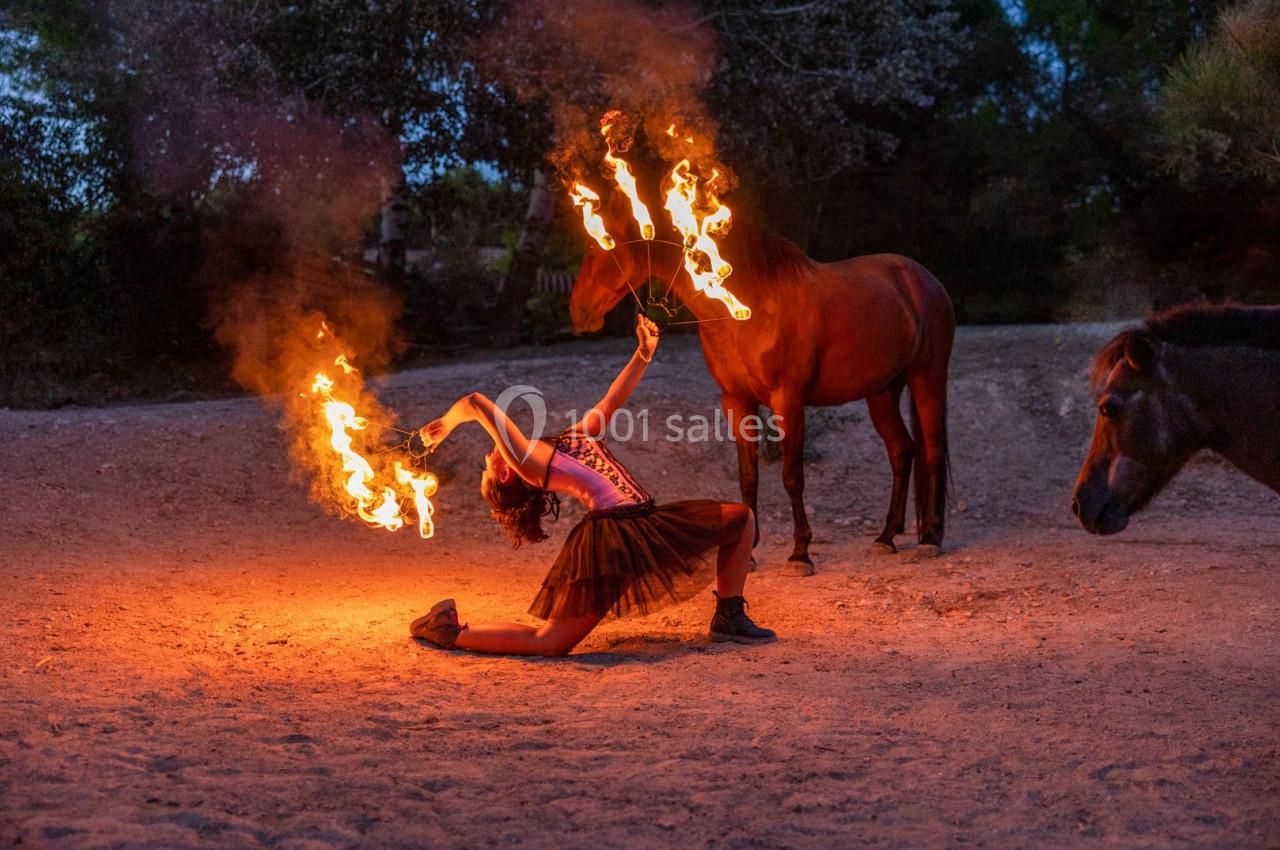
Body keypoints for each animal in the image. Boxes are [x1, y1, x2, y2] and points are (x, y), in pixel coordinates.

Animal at [570, 196, 954, 572]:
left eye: (596, 244)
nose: (579, 312)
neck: (751, 304)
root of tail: (925, 280)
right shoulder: (736, 402)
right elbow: (748, 476)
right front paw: (750, 551)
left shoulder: (789, 401)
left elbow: (791, 476)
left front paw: (800, 553)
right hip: (882, 393)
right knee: (902, 451)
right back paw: (886, 537)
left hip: (927, 379)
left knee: (932, 450)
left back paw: (930, 539)